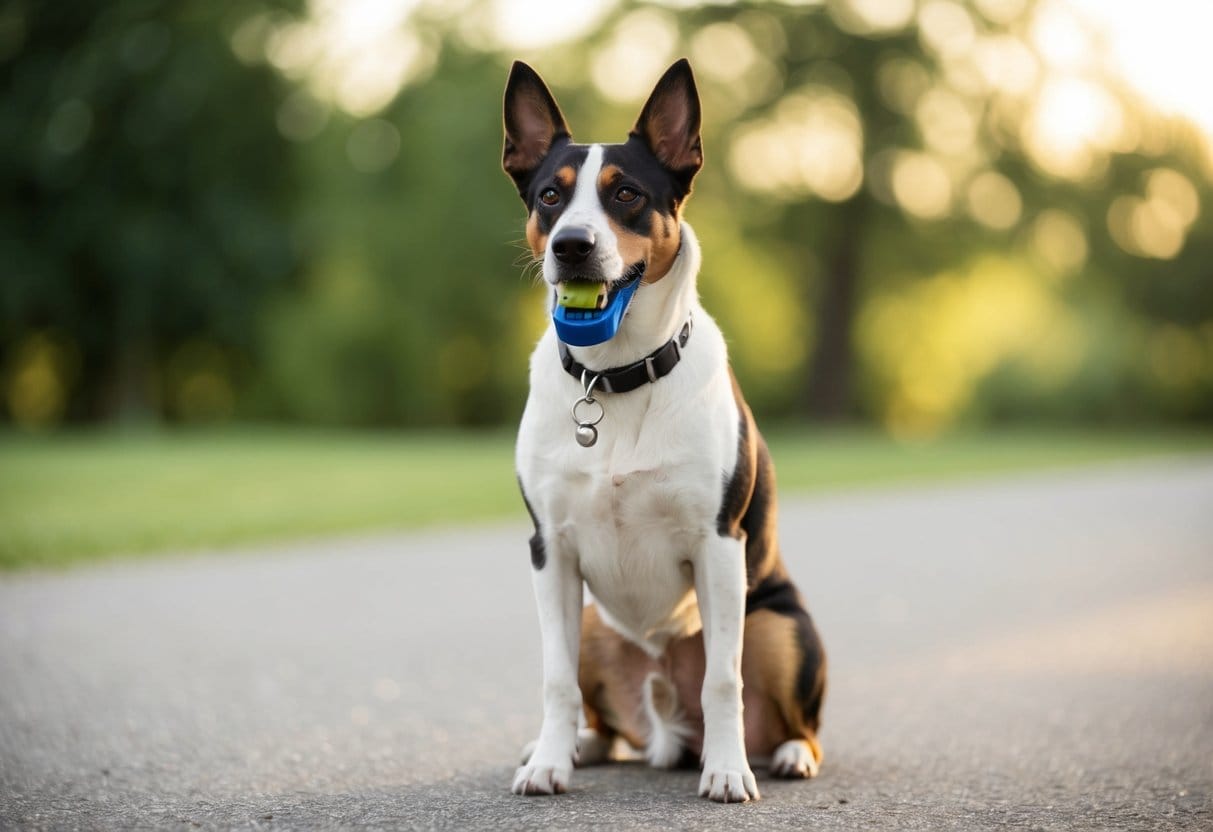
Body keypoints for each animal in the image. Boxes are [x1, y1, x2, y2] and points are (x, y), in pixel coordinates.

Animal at [502, 60, 824, 810]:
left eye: (626, 193)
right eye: (550, 196)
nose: (571, 246)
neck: (613, 378)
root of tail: (668, 734)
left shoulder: (719, 547)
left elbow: (724, 679)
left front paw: (728, 772)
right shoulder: (550, 551)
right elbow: (555, 679)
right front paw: (549, 763)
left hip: (782, 626)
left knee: (791, 718)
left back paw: (783, 753)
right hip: (595, 622)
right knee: (601, 719)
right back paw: (574, 746)